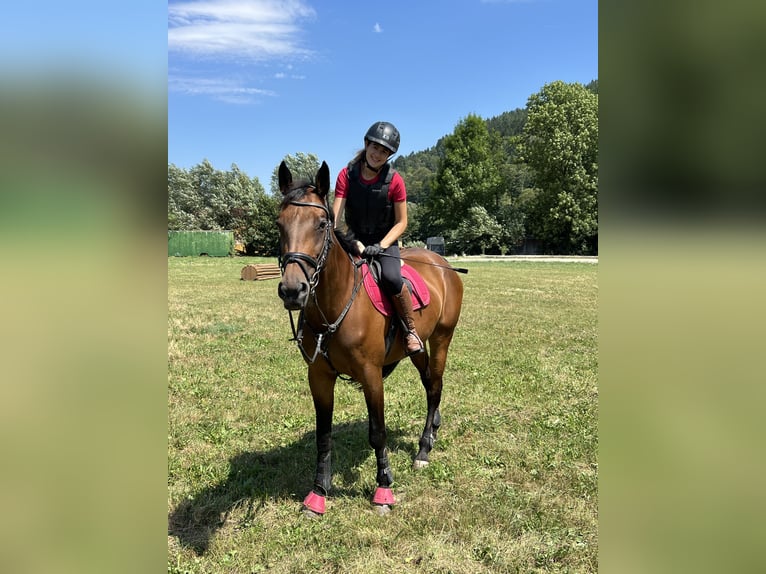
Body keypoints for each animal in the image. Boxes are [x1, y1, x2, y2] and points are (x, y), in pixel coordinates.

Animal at [276, 160, 464, 516]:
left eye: (322, 224)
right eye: (279, 225)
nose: (293, 290)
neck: (337, 304)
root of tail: (442, 263)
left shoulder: (371, 375)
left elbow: (378, 432)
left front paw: (384, 489)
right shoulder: (319, 376)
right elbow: (323, 435)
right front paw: (318, 492)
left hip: (442, 338)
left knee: (435, 385)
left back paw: (424, 448)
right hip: (417, 346)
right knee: (429, 381)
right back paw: (433, 429)